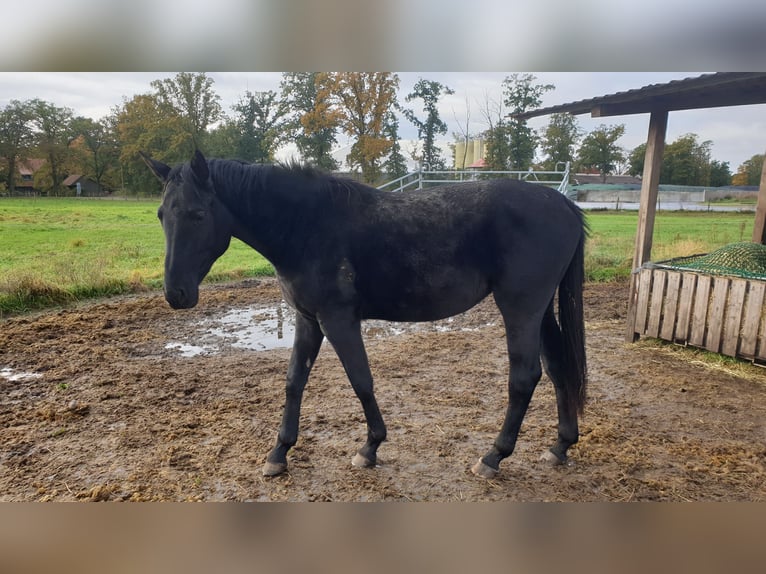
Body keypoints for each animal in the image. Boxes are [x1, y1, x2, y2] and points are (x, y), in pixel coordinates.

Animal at [142, 151, 588, 480]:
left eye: (198, 214)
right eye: (163, 215)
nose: (176, 294)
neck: (306, 225)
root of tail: (563, 203)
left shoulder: (337, 320)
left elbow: (361, 381)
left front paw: (370, 447)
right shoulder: (307, 320)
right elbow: (293, 382)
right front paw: (279, 453)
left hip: (520, 307)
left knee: (524, 378)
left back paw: (493, 457)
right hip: (539, 311)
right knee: (558, 368)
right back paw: (560, 446)